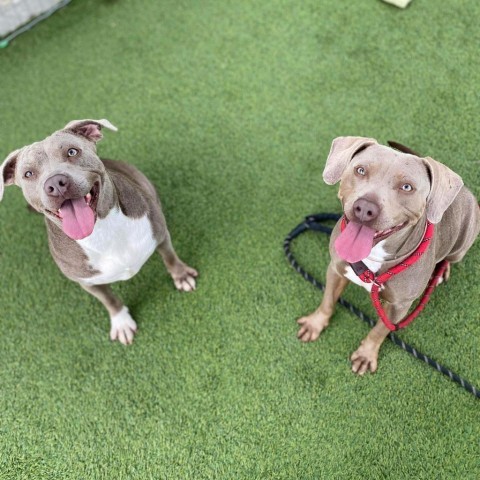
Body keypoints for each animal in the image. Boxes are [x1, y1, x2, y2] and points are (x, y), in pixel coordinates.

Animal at [296, 137, 480, 374]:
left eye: (407, 187)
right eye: (360, 170)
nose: (365, 208)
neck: (373, 257)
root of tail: (465, 190)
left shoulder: (398, 306)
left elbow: (380, 329)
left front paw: (366, 355)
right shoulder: (335, 270)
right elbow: (327, 300)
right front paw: (315, 324)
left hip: (462, 244)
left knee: (450, 258)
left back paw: (441, 271)